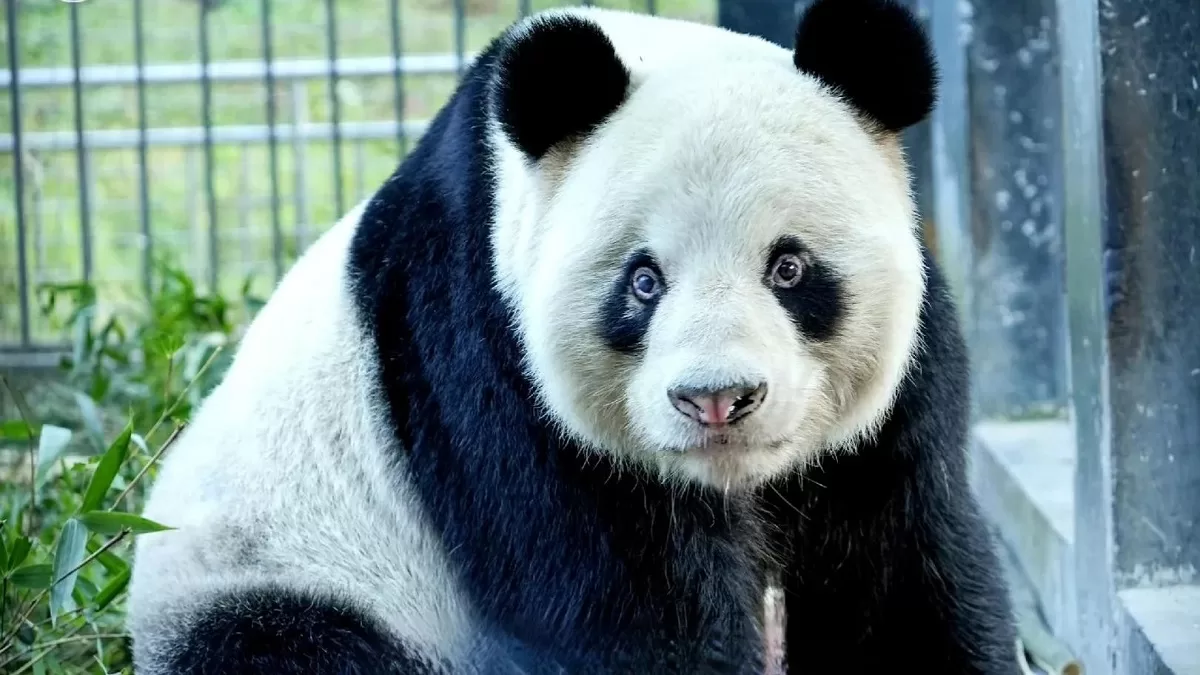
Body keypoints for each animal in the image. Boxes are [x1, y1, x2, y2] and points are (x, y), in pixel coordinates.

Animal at [127, 0, 1019, 673]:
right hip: (280, 570)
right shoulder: (487, 350)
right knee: (291, 649)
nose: (718, 399)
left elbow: (899, 572)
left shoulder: (898, 396)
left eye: (790, 267)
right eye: (644, 281)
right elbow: (624, 604)